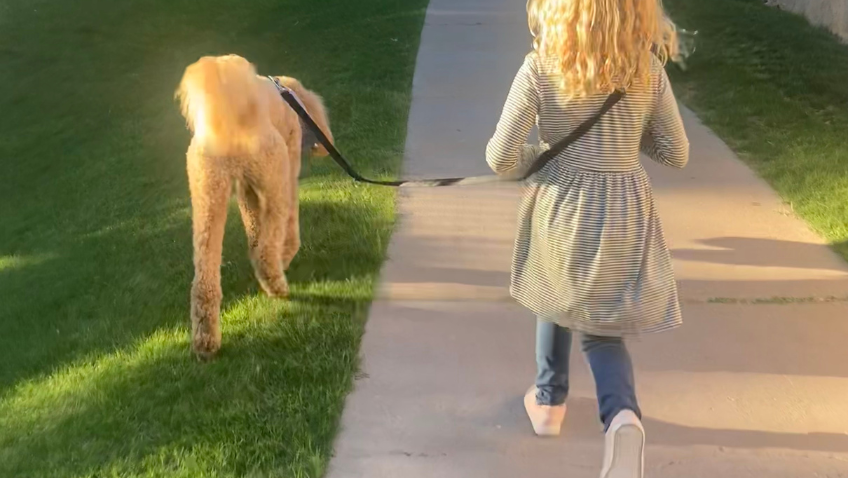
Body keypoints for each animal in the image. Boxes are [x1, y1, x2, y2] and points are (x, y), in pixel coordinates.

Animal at [176, 54, 333, 360]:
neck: (288, 96)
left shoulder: (247, 191)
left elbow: (254, 228)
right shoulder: (286, 171)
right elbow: (283, 227)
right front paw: (286, 253)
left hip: (207, 195)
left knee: (204, 281)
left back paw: (205, 341)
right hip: (275, 174)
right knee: (267, 248)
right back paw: (277, 281)